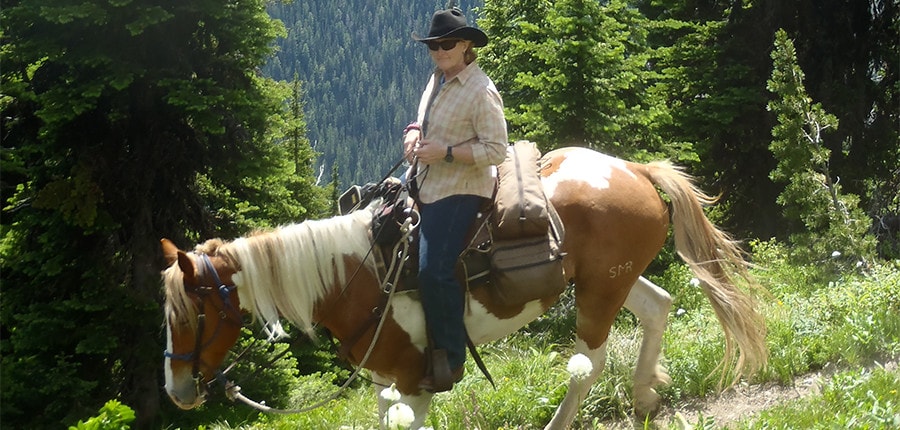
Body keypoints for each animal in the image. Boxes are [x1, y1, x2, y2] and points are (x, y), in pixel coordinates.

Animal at [160, 147, 768, 426]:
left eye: (191, 315)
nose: (178, 391)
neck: (356, 277)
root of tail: (635, 169)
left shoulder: (415, 383)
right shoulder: (387, 386)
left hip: (597, 294)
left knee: (588, 363)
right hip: (608, 279)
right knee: (657, 307)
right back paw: (645, 396)